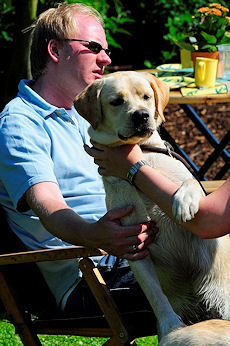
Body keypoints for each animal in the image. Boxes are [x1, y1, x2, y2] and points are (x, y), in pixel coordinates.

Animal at [74, 71, 230, 342]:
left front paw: (183, 202)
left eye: (146, 97)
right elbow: (156, 296)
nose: (141, 115)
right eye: (116, 101)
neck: (142, 156)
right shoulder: (134, 245)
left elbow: (191, 182)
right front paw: (170, 325)